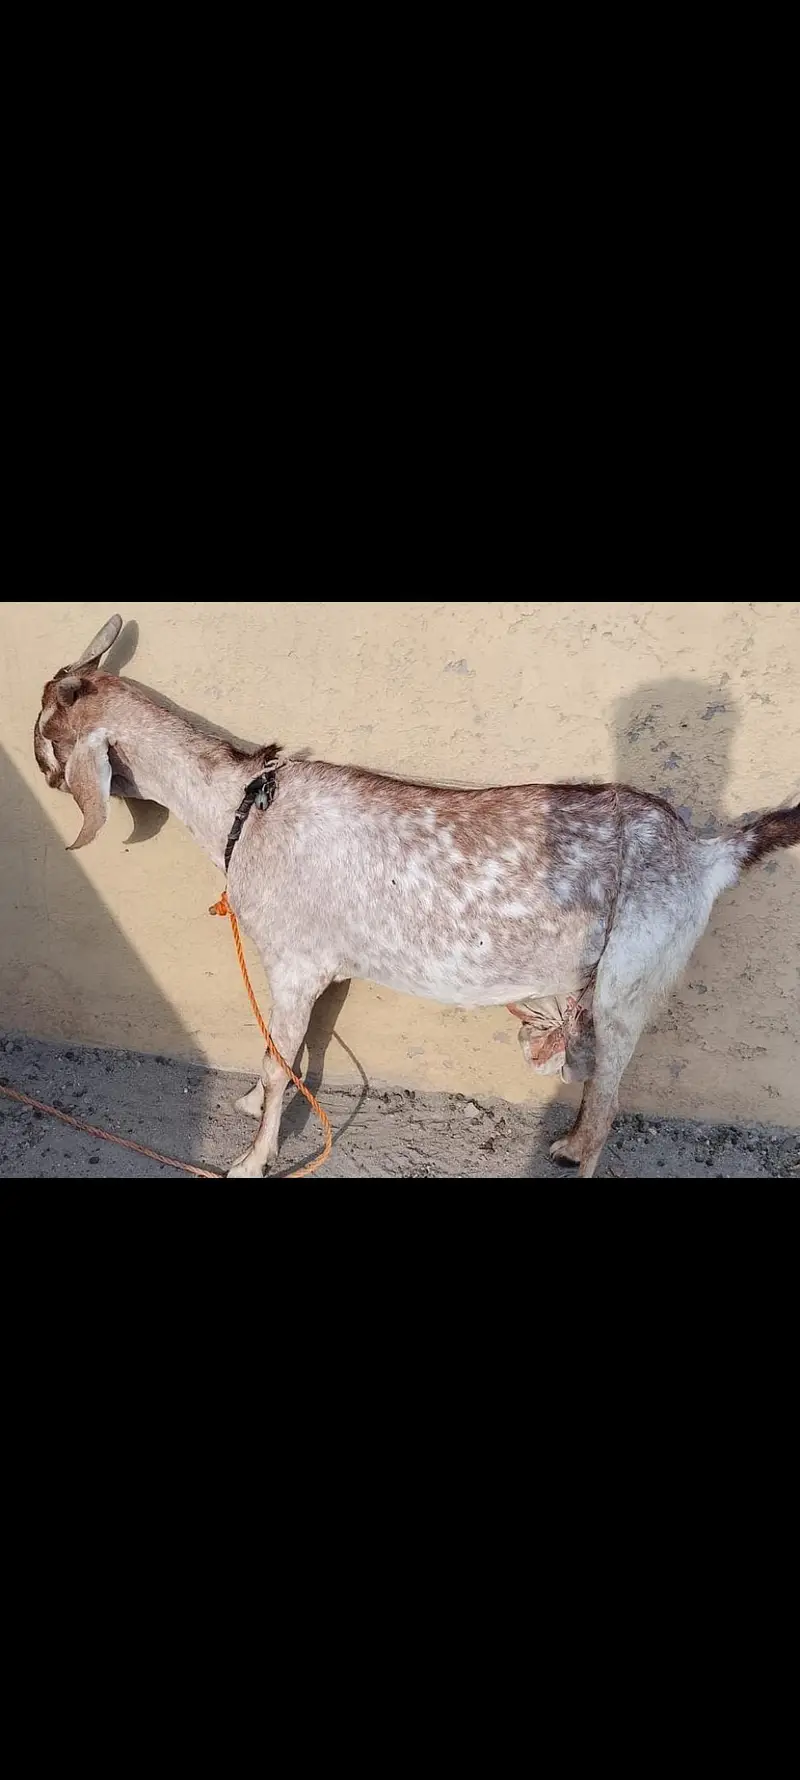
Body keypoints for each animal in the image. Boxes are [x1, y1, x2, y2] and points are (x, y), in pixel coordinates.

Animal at [34, 614, 799, 1179]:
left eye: (46, 735)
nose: (43, 776)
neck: (243, 807)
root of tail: (704, 853)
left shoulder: (296, 964)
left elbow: (283, 1065)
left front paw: (250, 1160)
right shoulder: (308, 969)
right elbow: (276, 1050)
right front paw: (250, 1103)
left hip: (629, 979)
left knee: (608, 1104)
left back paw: (573, 1150)